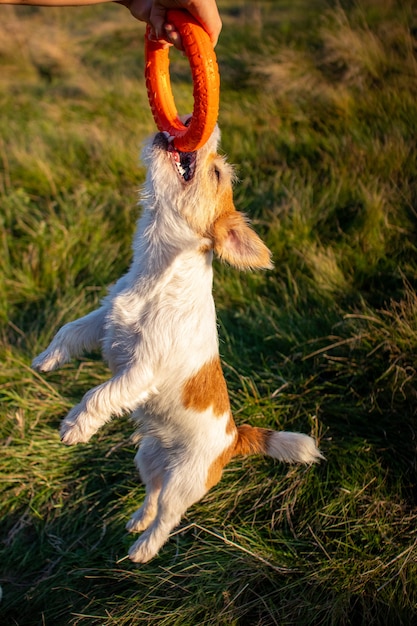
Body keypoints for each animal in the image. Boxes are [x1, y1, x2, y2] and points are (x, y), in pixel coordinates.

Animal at [32, 125, 322, 560]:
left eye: (217, 173)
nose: (199, 130)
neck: (154, 274)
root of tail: (234, 437)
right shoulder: (105, 318)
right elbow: (70, 330)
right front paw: (48, 359)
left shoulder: (142, 369)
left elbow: (100, 394)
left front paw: (75, 426)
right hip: (147, 458)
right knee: (152, 495)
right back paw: (138, 521)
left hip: (184, 482)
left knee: (168, 516)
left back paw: (143, 548)